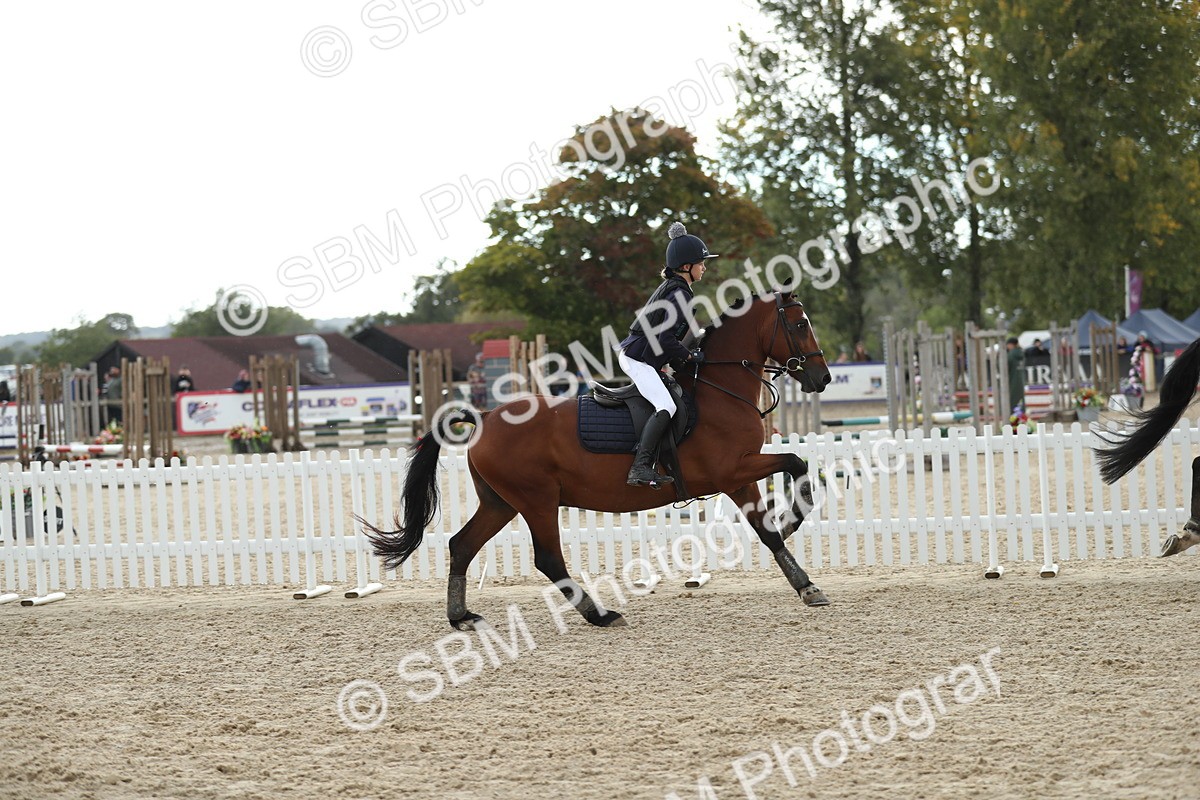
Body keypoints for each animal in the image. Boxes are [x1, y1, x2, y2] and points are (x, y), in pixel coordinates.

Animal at [359, 291, 833, 630]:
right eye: (800, 324)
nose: (822, 377)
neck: (719, 388)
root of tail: (487, 416)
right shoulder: (732, 471)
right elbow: (791, 471)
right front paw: (796, 533)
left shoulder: (741, 473)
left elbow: (775, 514)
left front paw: (804, 572)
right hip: (536, 501)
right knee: (547, 559)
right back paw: (599, 614)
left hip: (500, 502)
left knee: (462, 545)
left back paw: (461, 617)